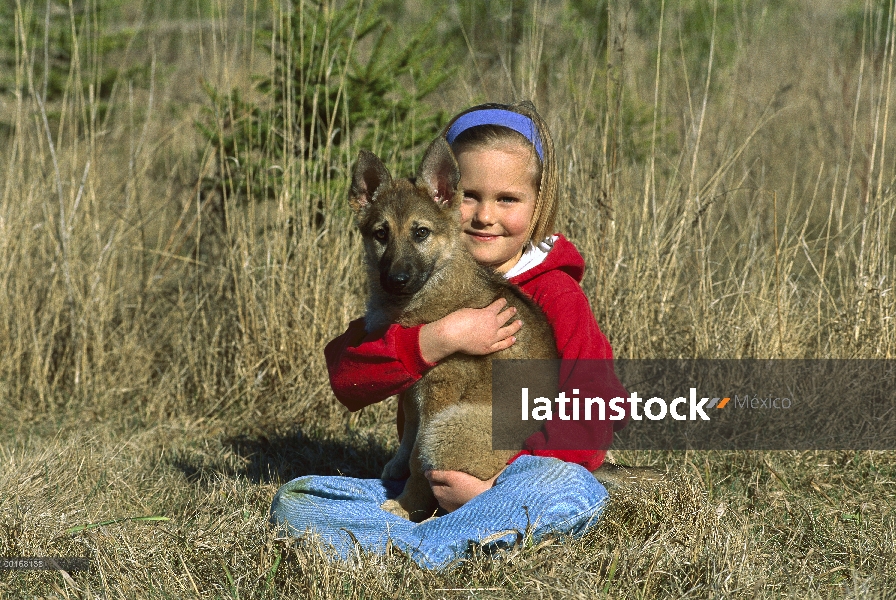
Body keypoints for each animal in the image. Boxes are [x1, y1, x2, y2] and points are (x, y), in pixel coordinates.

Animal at [352, 136, 556, 520]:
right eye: (380, 234)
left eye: (421, 233)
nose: (396, 280)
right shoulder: (413, 388)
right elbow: (407, 437)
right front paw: (395, 469)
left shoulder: (439, 393)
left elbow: (418, 459)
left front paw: (406, 505)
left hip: (450, 426)